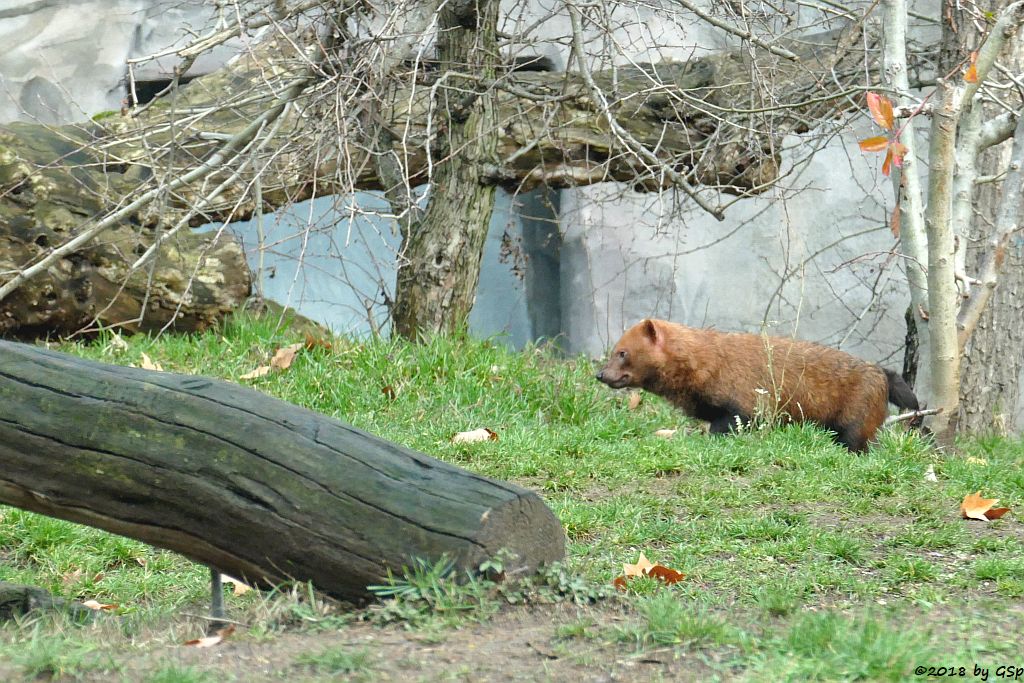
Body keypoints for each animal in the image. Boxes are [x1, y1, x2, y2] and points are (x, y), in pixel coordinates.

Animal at [593, 317, 921, 450]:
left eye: (622, 352)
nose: (600, 374)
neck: (709, 363)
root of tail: (881, 373)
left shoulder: (743, 408)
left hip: (855, 426)